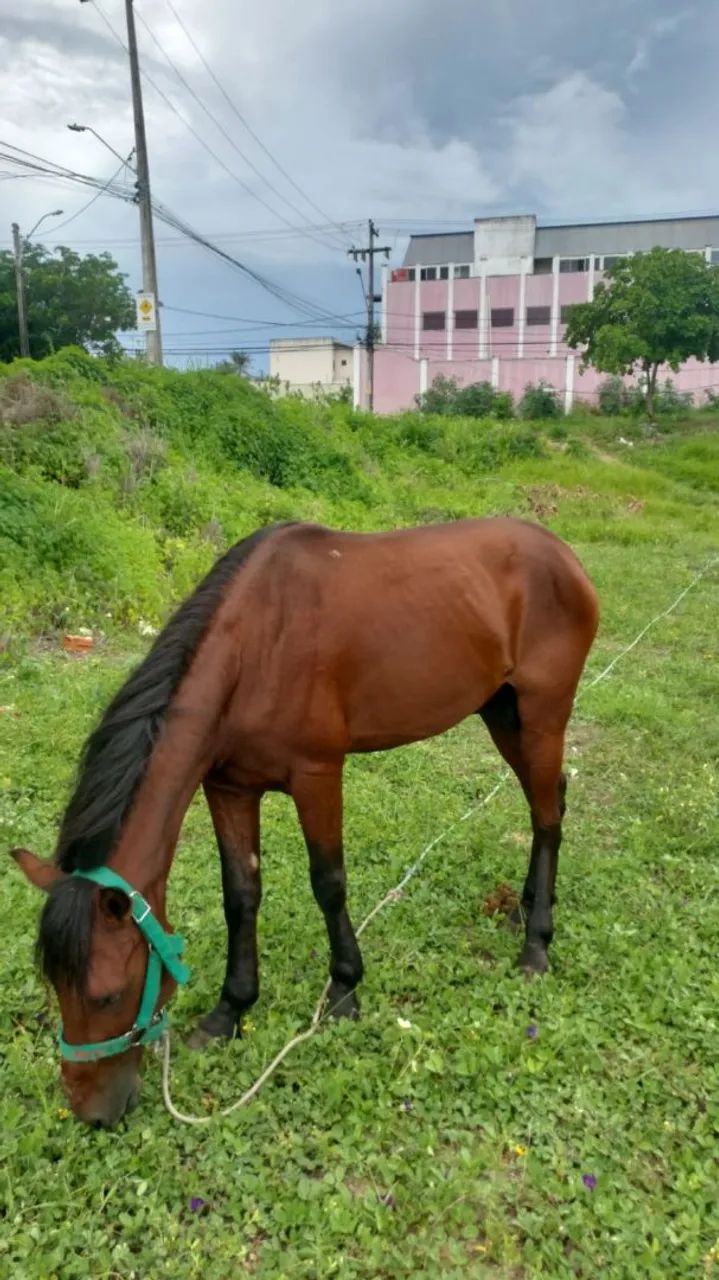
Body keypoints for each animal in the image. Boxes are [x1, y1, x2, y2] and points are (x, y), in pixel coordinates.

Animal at [13, 518, 598, 1128]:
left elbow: (328, 883)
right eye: (54, 985)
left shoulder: (317, 775)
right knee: (548, 801)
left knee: (547, 817)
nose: (92, 1113)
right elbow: (240, 895)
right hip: (501, 711)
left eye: (106, 994)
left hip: (543, 714)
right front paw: (229, 1010)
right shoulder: (229, 787)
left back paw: (536, 946)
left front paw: (344, 991)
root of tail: (560, 552)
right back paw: (526, 908)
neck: (254, 648)